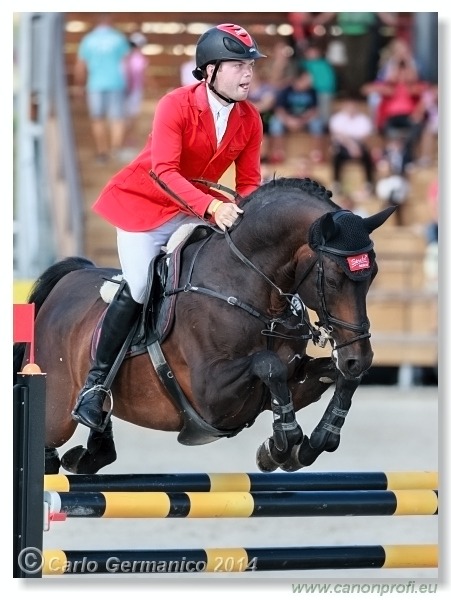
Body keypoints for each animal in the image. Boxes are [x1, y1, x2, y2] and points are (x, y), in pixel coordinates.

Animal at [13, 176, 396, 476]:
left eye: (373, 273)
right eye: (332, 279)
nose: (359, 357)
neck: (250, 286)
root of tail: (67, 279)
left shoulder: (292, 377)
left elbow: (333, 378)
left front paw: (308, 444)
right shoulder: (210, 394)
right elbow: (267, 364)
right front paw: (282, 443)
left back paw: (89, 452)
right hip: (55, 414)